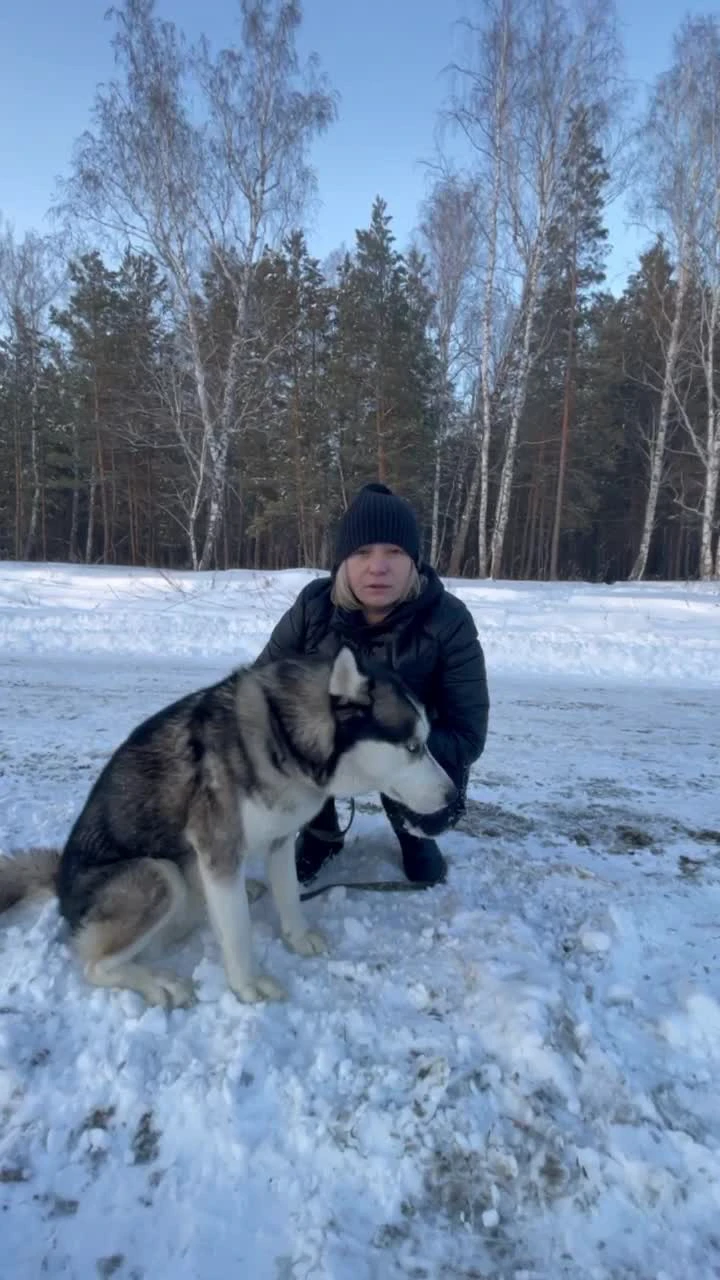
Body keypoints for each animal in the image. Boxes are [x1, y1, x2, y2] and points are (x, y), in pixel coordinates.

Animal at [0, 650, 450, 1008]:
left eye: (428, 741)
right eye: (413, 747)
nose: (452, 798)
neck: (283, 736)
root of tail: (60, 884)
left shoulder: (280, 839)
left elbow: (289, 896)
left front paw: (298, 937)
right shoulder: (218, 849)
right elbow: (237, 933)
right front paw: (247, 986)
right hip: (156, 874)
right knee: (94, 963)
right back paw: (160, 983)